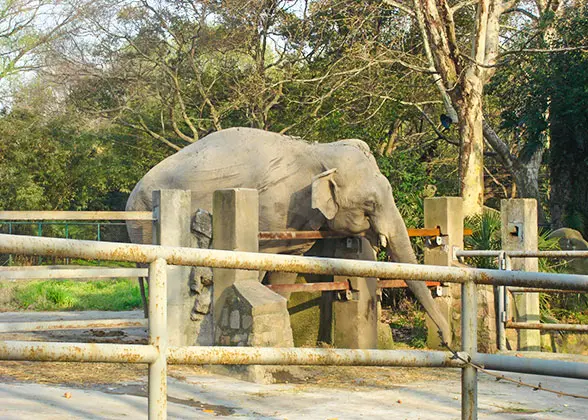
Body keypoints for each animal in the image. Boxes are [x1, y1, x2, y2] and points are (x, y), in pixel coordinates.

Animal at [127, 127, 450, 344]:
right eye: (370, 203)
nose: (448, 341)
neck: (320, 151)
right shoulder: (270, 211)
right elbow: (258, 262)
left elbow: (287, 266)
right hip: (144, 222)